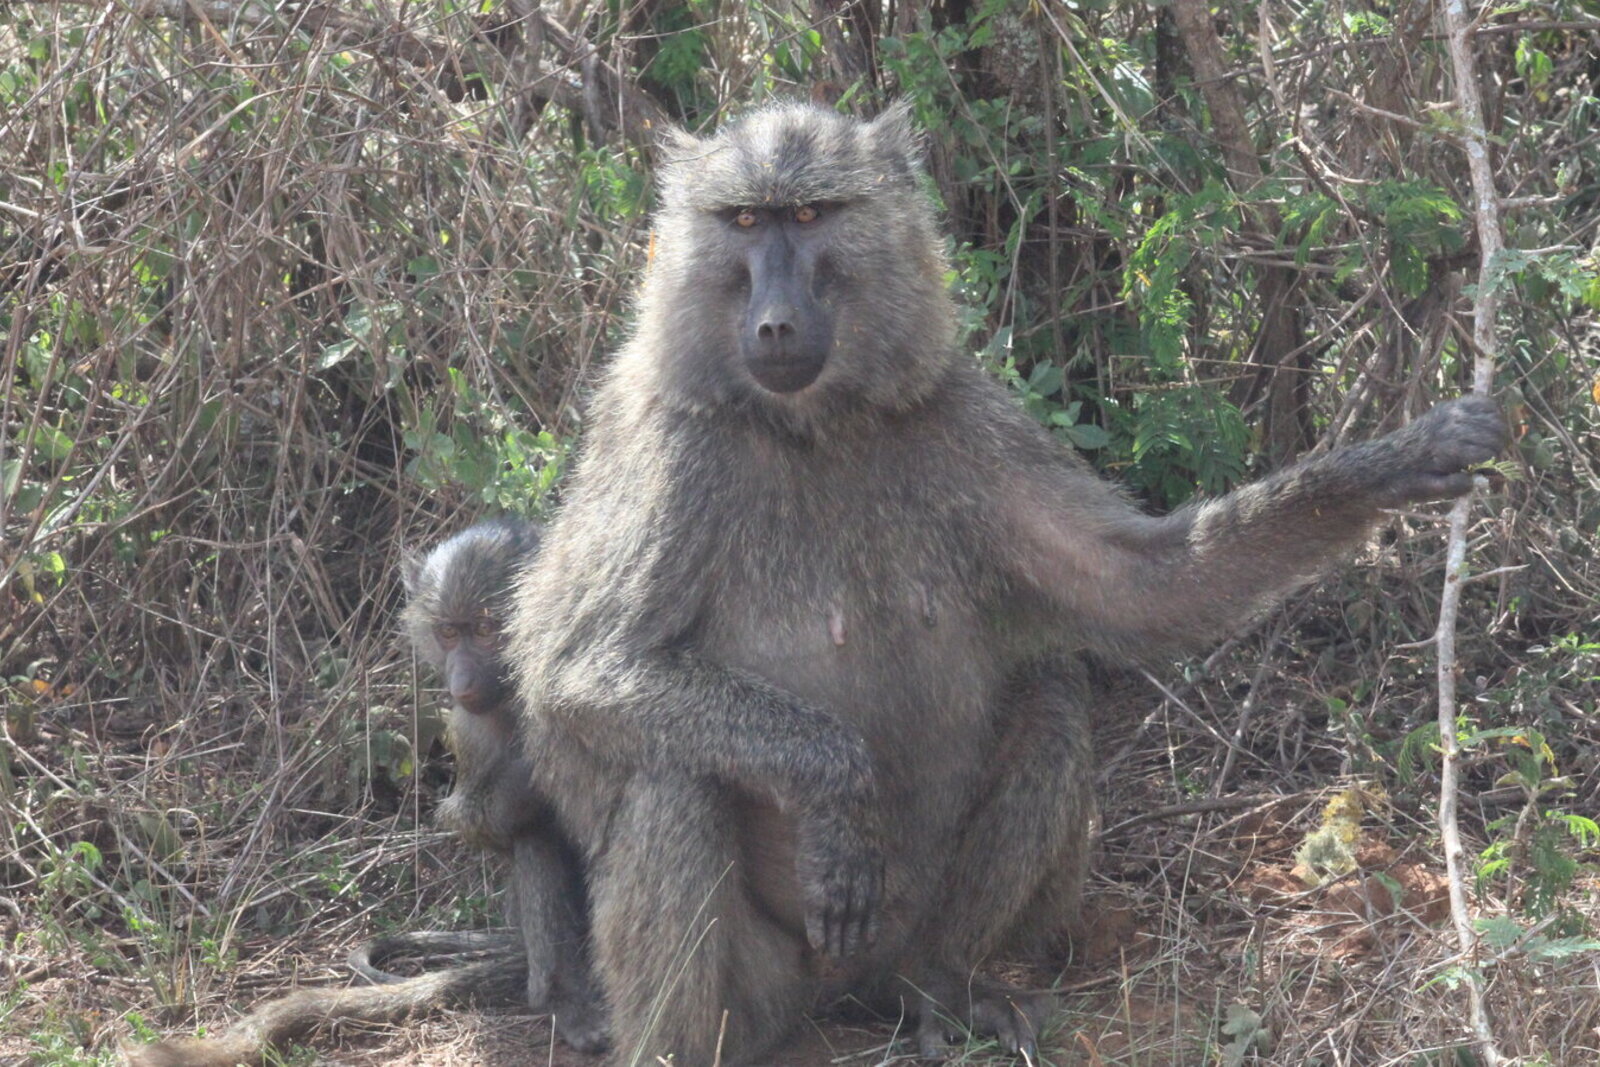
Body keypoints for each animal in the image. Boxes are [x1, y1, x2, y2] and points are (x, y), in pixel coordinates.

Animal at [127, 519, 606, 1067]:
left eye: (487, 630)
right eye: (448, 632)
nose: (461, 683)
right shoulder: (468, 727)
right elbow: (476, 823)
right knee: (536, 835)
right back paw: (562, 1001)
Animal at [505, 102, 1506, 1066]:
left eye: (811, 215)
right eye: (744, 221)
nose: (776, 323)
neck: (815, 426)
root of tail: (842, 993)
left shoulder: (965, 417)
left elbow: (1144, 584)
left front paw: (1398, 461)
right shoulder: (672, 451)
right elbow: (584, 670)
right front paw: (837, 790)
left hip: (905, 929)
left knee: (1052, 699)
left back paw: (941, 988)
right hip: (769, 982)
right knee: (676, 780)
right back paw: (689, 1043)